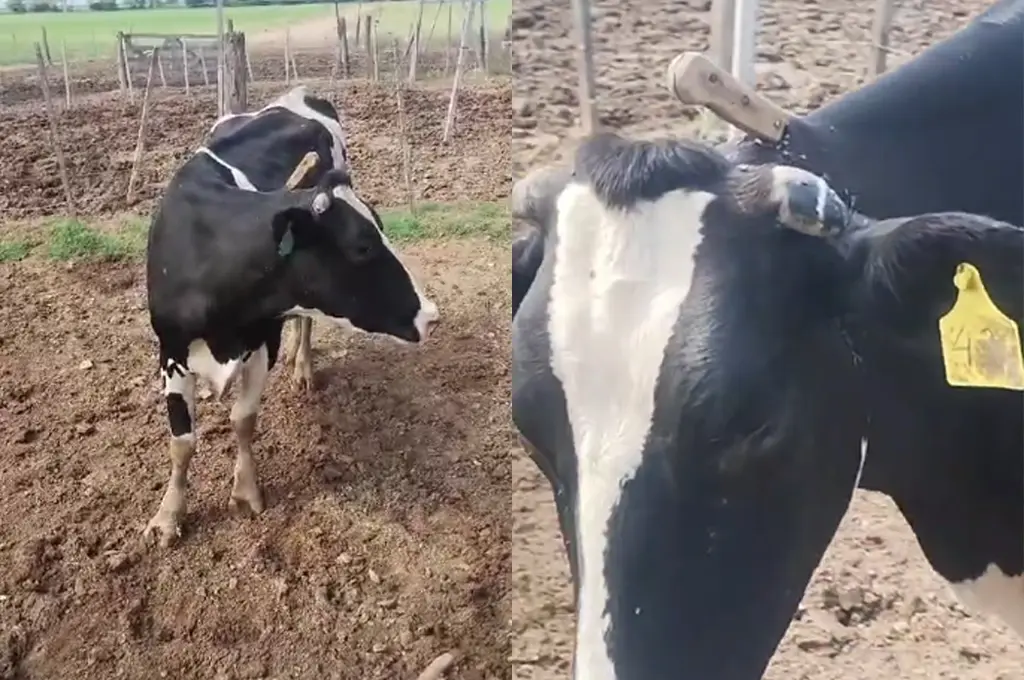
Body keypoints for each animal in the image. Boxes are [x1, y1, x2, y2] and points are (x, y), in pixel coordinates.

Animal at [144, 87, 439, 548]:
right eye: (362, 247)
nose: (430, 315)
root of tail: (299, 93)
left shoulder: (265, 339)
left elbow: (243, 420)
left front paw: (245, 492)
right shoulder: (170, 349)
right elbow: (182, 441)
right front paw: (168, 516)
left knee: (306, 322)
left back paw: (303, 367)